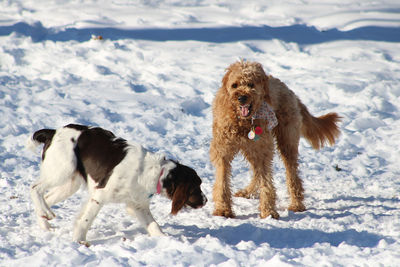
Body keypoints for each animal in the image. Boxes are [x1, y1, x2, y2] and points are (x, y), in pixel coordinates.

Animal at [27, 124, 208, 246]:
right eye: (196, 186)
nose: (205, 200)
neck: (156, 173)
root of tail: (54, 132)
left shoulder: (137, 205)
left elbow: (154, 225)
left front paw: (166, 240)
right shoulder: (99, 195)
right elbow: (86, 220)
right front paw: (79, 241)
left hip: (70, 184)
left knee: (46, 197)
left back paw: (45, 220)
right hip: (63, 169)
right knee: (35, 188)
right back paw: (46, 214)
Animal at [209, 60, 340, 220]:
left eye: (251, 84)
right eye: (234, 85)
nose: (242, 98)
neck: (242, 122)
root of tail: (288, 89)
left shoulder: (263, 150)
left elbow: (266, 182)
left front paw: (268, 211)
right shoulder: (223, 151)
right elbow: (222, 181)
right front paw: (223, 210)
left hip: (286, 141)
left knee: (292, 175)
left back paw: (296, 204)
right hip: (253, 148)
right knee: (257, 172)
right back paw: (248, 191)